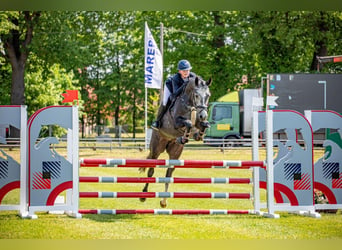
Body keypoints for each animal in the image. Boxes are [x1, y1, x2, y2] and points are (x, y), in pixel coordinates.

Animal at [139, 75, 211, 207]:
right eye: (196, 95)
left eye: (208, 95)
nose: (203, 115)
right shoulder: (176, 122)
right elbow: (187, 123)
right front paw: (185, 135)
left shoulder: (197, 124)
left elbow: (200, 127)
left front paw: (198, 133)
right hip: (156, 148)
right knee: (151, 170)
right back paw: (143, 195)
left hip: (175, 152)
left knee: (169, 172)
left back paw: (164, 201)